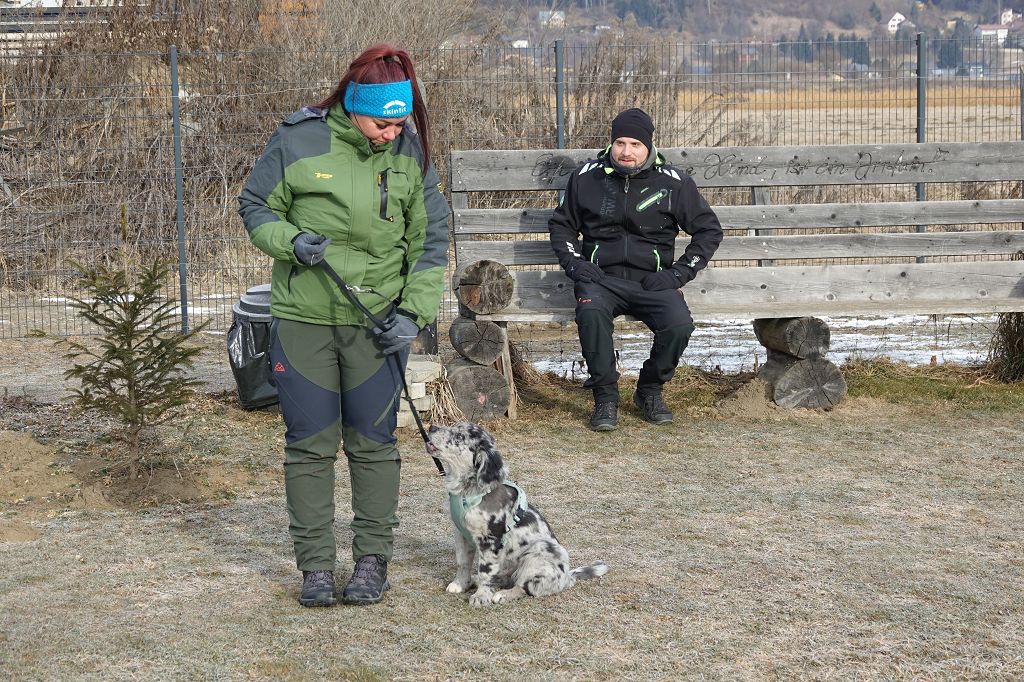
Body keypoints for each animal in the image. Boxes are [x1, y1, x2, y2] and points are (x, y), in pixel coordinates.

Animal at [425, 422, 609, 606]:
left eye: (460, 437)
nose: (431, 427)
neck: (467, 491)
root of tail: (567, 578)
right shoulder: (461, 534)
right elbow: (462, 562)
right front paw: (460, 584)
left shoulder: (491, 540)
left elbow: (486, 571)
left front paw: (482, 596)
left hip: (540, 551)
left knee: (524, 587)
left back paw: (503, 595)